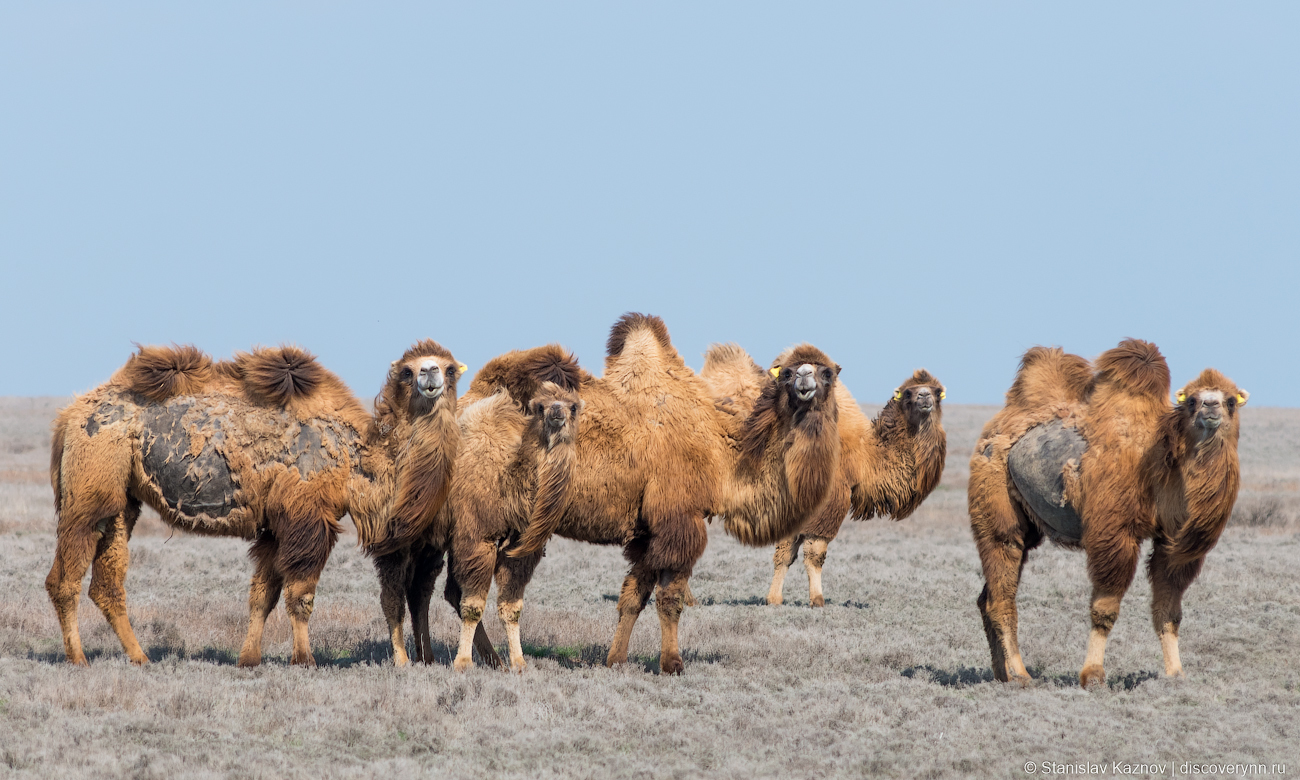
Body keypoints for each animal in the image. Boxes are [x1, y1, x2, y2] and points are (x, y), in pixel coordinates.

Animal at [45, 340, 462, 663]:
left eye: (450, 367)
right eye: (407, 371)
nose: (430, 375)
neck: (356, 462)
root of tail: (70, 414)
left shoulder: (276, 526)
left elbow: (263, 595)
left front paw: (249, 658)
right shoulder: (307, 518)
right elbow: (300, 595)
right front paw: (304, 660)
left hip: (123, 499)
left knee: (107, 581)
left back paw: (140, 657)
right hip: (90, 485)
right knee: (64, 577)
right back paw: (78, 658)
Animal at [426, 313, 847, 670]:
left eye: (827, 371)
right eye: (788, 371)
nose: (805, 380)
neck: (723, 453)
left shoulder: (648, 531)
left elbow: (633, 598)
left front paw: (616, 659)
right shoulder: (679, 521)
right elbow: (670, 599)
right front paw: (672, 664)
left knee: (457, 589)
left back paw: (493, 658)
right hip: (482, 519)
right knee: (468, 587)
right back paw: (480, 660)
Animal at [707, 348, 951, 608]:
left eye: (937, 392)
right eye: (908, 392)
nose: (924, 396)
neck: (864, 456)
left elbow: (787, 554)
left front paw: (775, 599)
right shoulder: (823, 505)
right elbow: (809, 554)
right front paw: (814, 599)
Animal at [972, 338, 1242, 686]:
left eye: (1231, 400)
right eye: (1192, 401)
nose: (1211, 407)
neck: (1162, 465)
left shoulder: (1174, 543)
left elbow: (1169, 610)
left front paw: (1176, 673)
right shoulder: (1114, 533)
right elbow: (1105, 608)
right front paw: (1093, 675)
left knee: (988, 594)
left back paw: (1001, 674)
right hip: (994, 499)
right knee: (1001, 579)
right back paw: (1020, 674)